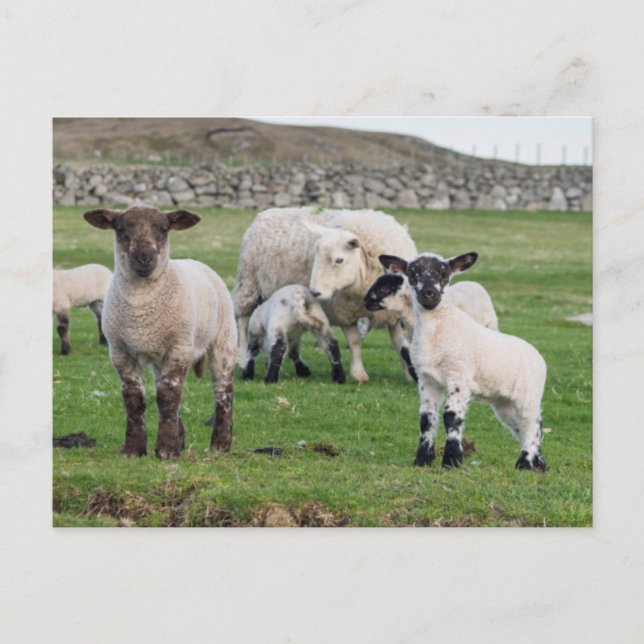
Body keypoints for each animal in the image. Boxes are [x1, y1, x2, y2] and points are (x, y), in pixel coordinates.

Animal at [83, 205, 237, 460]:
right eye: (120, 228)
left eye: (164, 229)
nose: (144, 258)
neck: (141, 309)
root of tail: (196, 262)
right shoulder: (120, 351)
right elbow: (135, 398)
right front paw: (134, 449)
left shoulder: (179, 346)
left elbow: (168, 395)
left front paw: (165, 450)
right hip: (159, 357)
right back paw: (181, 440)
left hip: (223, 340)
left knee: (223, 391)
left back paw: (220, 444)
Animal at [232, 207, 418, 382]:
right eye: (315, 256)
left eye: (339, 260)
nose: (314, 292)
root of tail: (266, 213)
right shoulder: (344, 313)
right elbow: (355, 342)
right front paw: (359, 374)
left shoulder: (393, 314)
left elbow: (400, 345)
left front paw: (409, 374)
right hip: (249, 283)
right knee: (243, 322)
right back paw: (242, 359)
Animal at [364, 269, 499, 378]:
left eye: (384, 288)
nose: (365, 301)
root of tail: (473, 283)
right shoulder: (411, 336)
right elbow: (404, 351)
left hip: (490, 324)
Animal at [380, 251, 547, 471]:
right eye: (412, 273)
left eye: (445, 273)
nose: (429, 295)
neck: (437, 331)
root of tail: (538, 356)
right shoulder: (427, 379)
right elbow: (426, 418)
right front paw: (422, 460)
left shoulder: (458, 375)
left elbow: (451, 416)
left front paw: (452, 460)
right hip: (504, 403)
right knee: (520, 426)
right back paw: (539, 464)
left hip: (528, 395)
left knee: (532, 425)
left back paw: (525, 462)